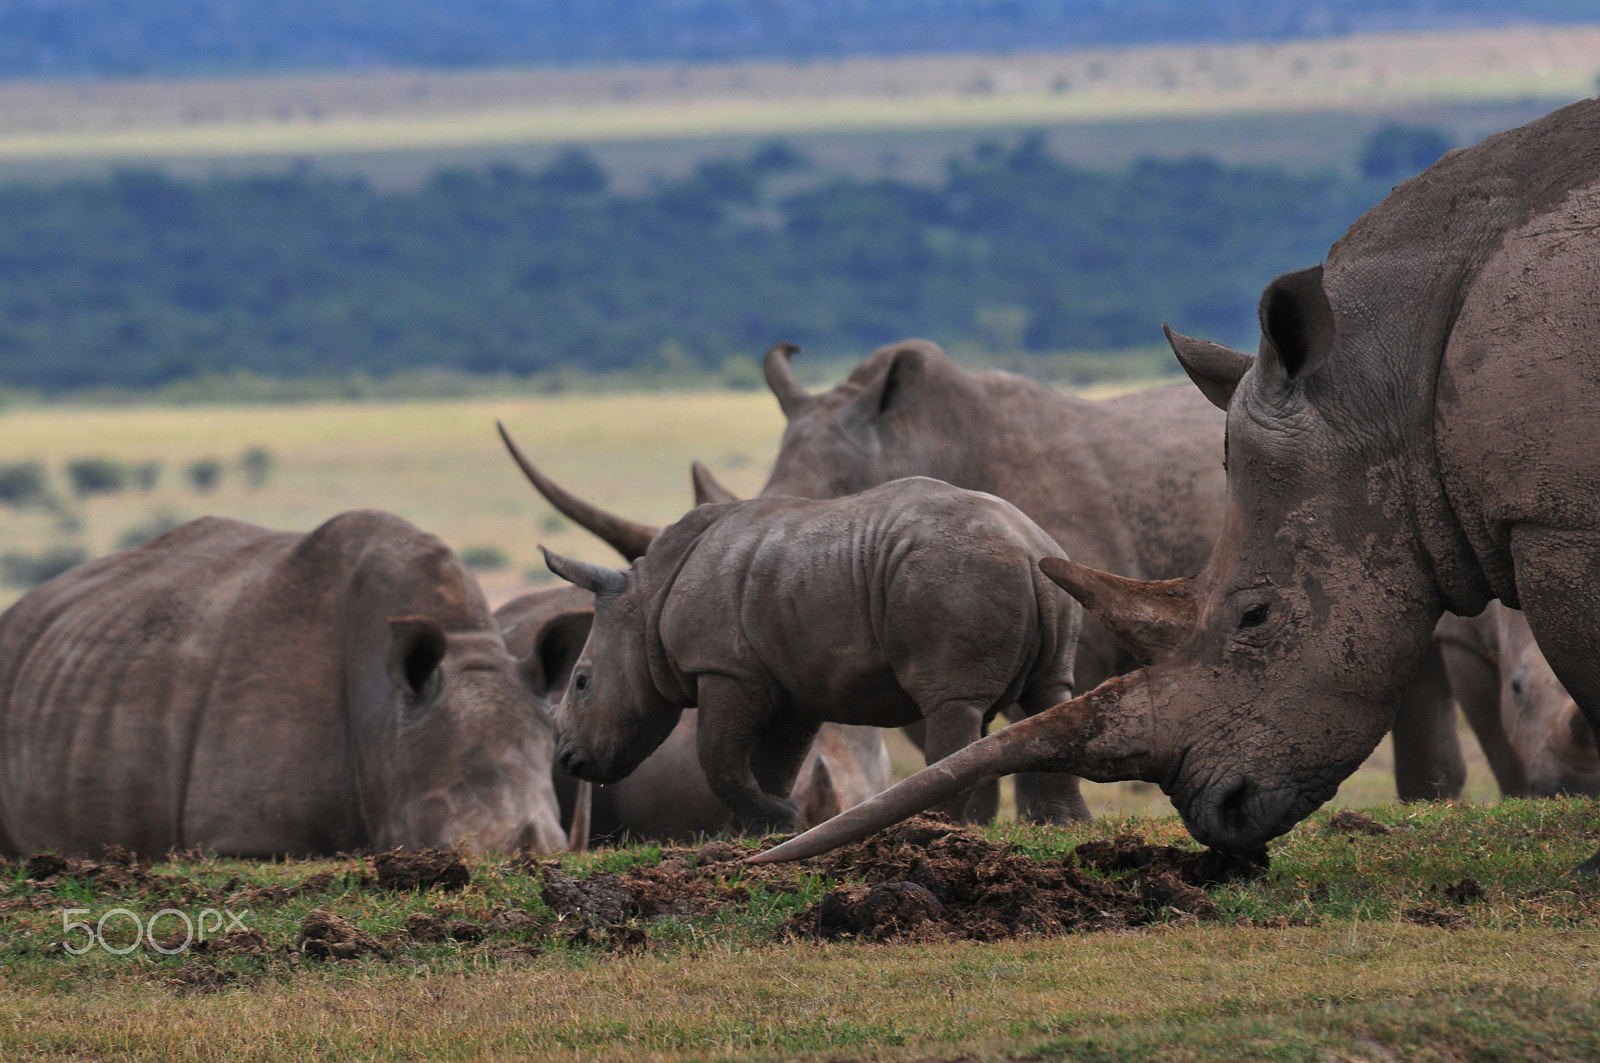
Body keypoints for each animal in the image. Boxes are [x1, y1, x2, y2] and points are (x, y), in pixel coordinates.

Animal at [541, 477, 1082, 832]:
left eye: (581, 682)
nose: (568, 761)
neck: (646, 600)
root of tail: (1026, 548)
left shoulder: (725, 668)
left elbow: (717, 756)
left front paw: (778, 822)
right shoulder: (791, 682)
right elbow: (775, 764)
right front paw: (756, 835)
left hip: (955, 573)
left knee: (954, 703)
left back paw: (927, 828)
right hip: (1047, 574)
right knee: (1050, 693)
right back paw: (1062, 826)